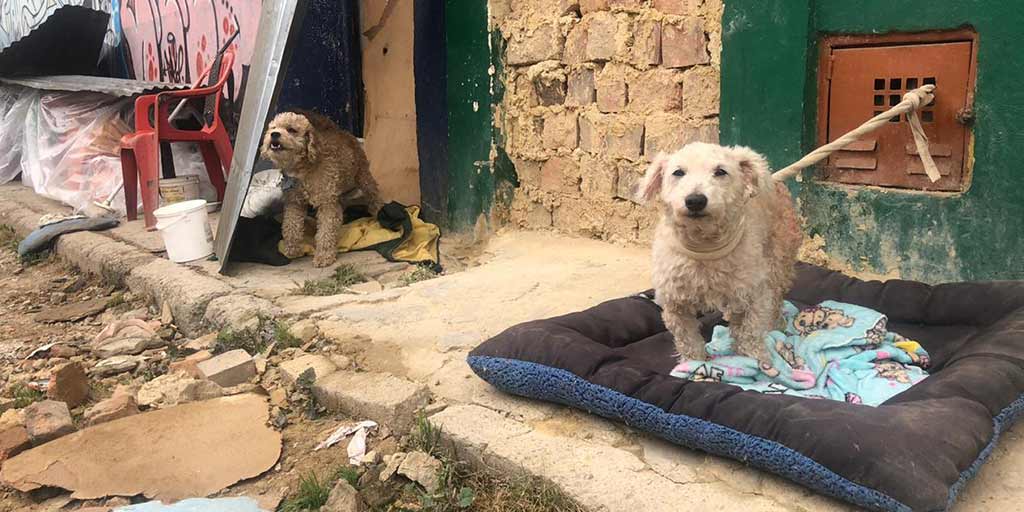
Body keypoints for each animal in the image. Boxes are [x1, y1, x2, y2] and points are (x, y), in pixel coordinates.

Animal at [258, 109, 382, 266]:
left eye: (291, 130)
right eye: (273, 128)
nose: (274, 134)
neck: (303, 169)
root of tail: (340, 131)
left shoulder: (326, 203)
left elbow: (326, 230)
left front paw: (324, 255)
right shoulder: (294, 202)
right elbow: (291, 226)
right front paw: (291, 249)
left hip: (363, 175)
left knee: (373, 193)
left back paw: (379, 210)